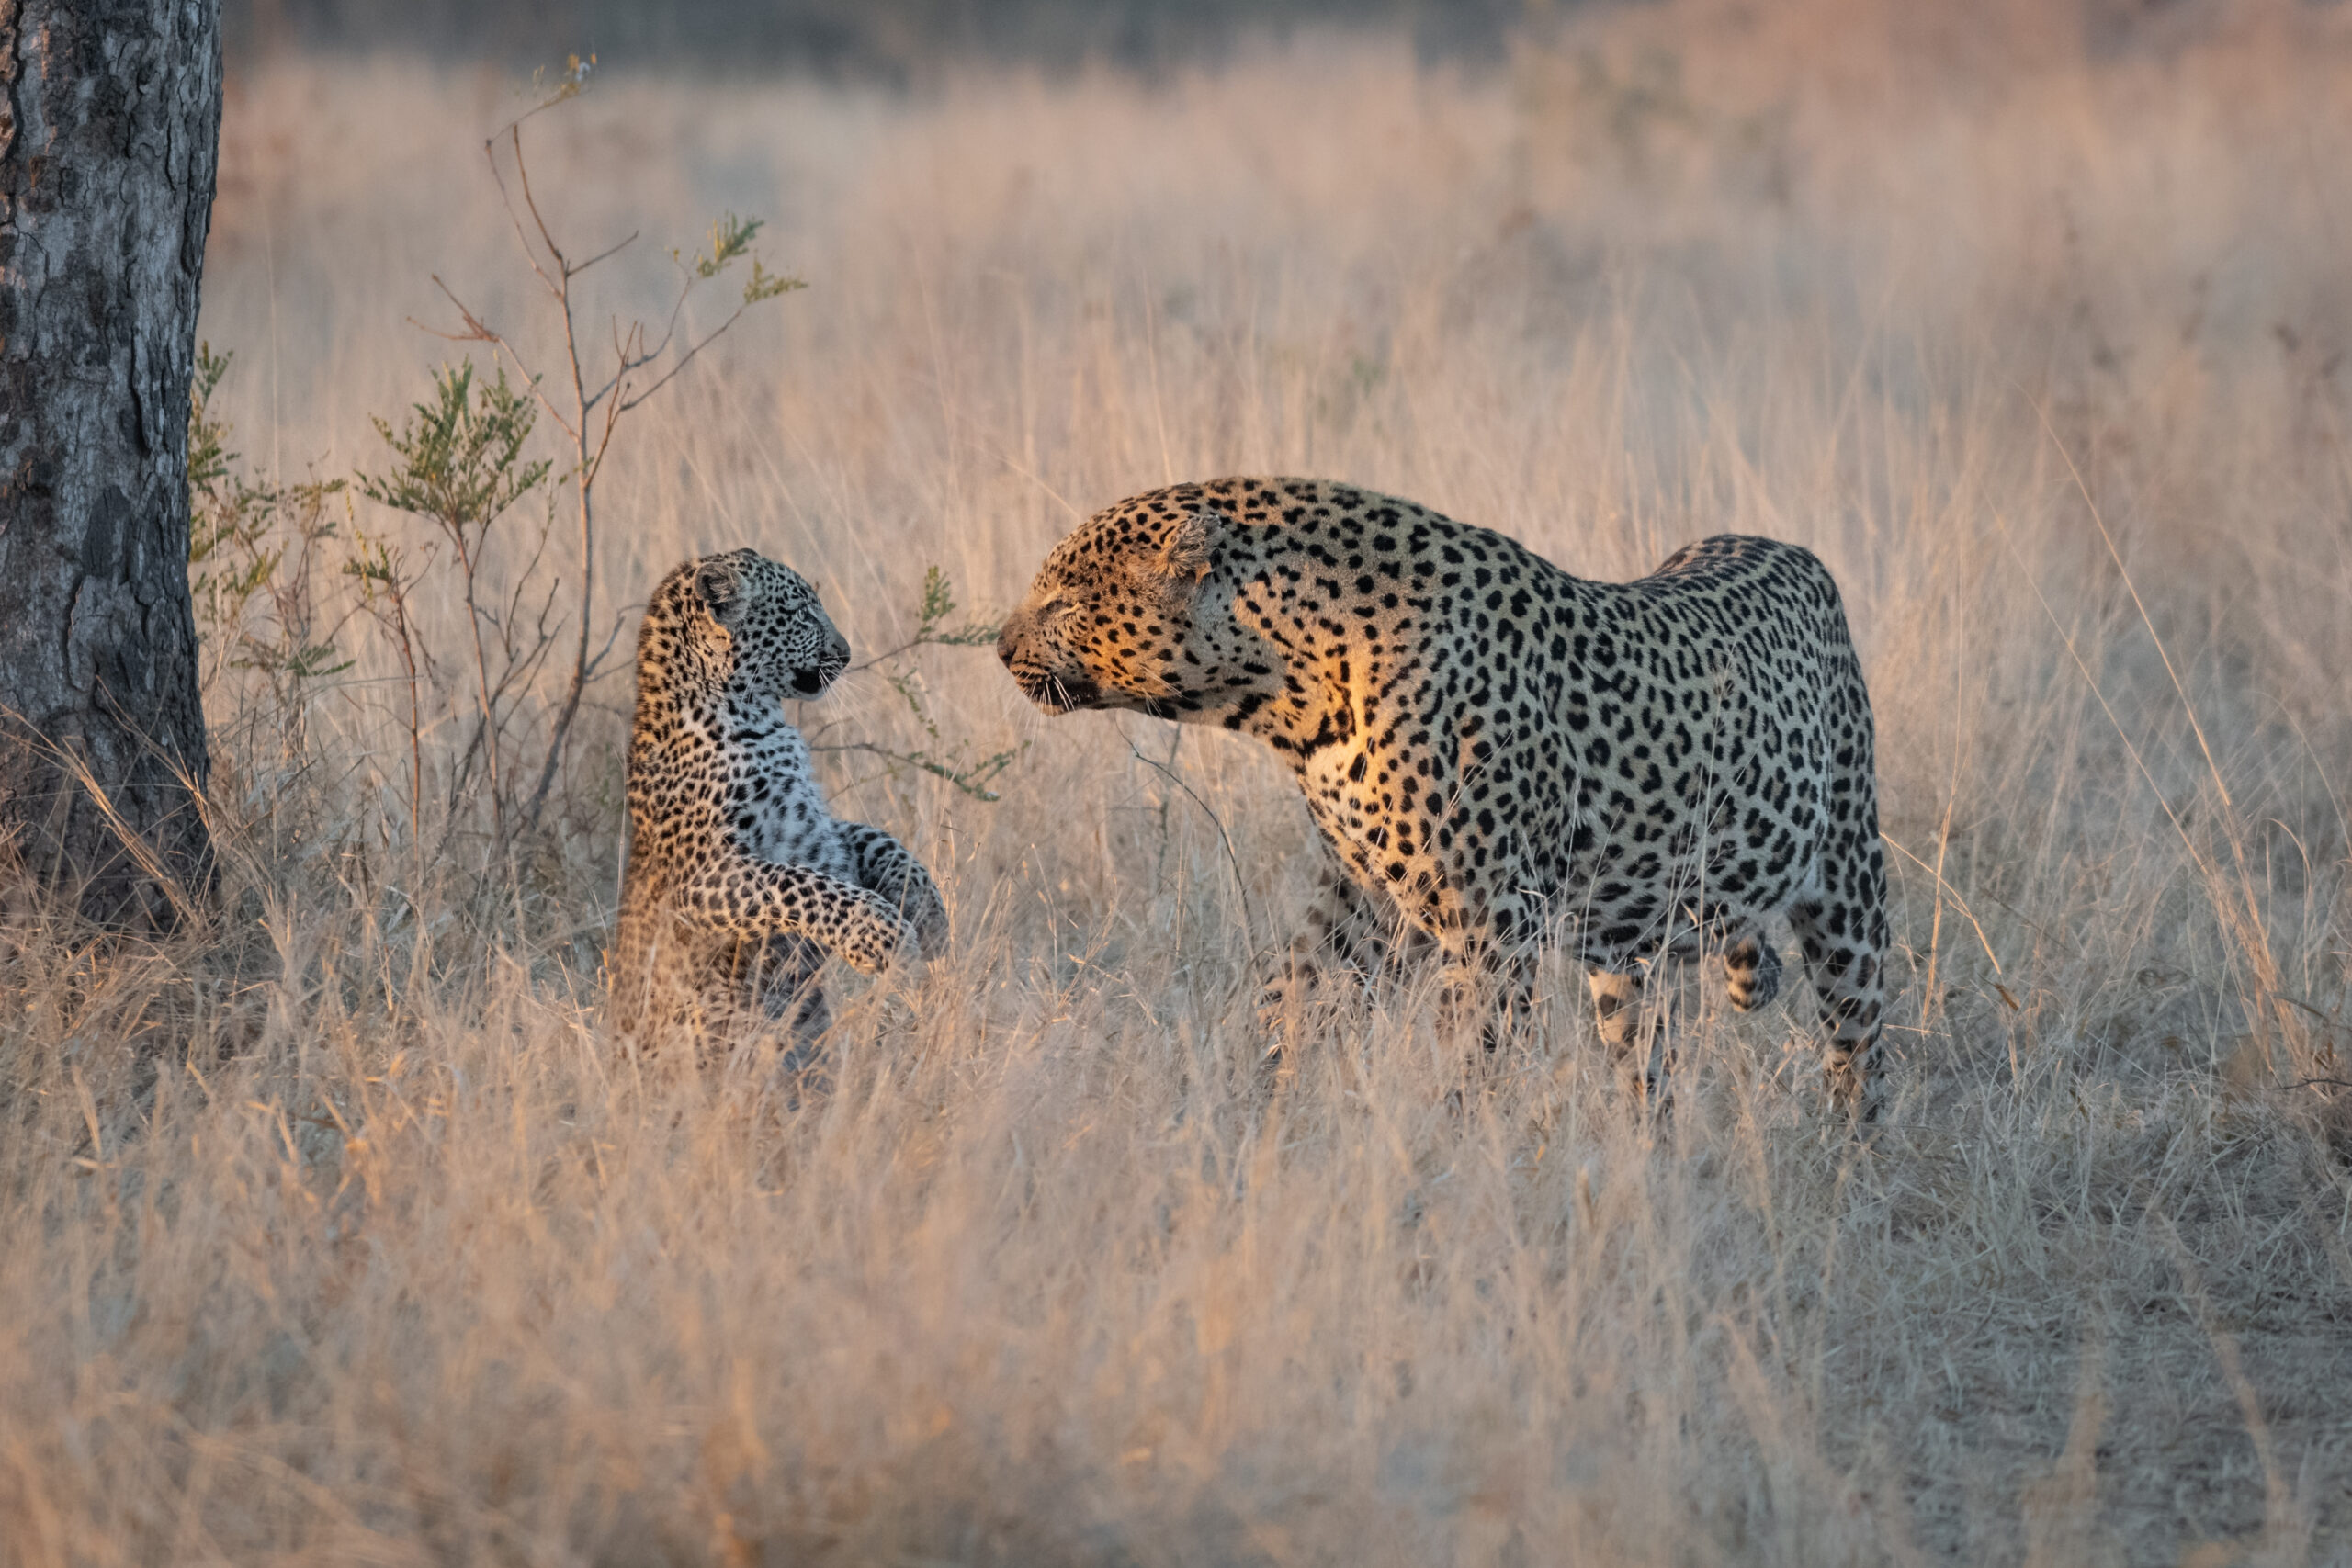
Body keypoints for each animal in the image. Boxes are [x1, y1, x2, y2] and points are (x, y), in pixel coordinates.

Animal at [607, 548, 948, 1058]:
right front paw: (881, 936)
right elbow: (801, 886)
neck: (753, 715)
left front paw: (929, 915)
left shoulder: (817, 831)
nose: (846, 653)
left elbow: (879, 842)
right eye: (803, 613)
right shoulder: (706, 873)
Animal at [996, 477, 1890, 1116]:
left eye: (1062, 601)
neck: (1293, 699)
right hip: (1625, 954)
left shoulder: (1495, 921)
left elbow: (1473, 1053)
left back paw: (1848, 1173)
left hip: (1850, 885)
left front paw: (1452, 1157)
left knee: (1862, 1050)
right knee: (1646, 1065)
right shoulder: (1363, 898)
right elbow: (1289, 993)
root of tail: (1786, 547)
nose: (999, 646)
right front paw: (1257, 1102)